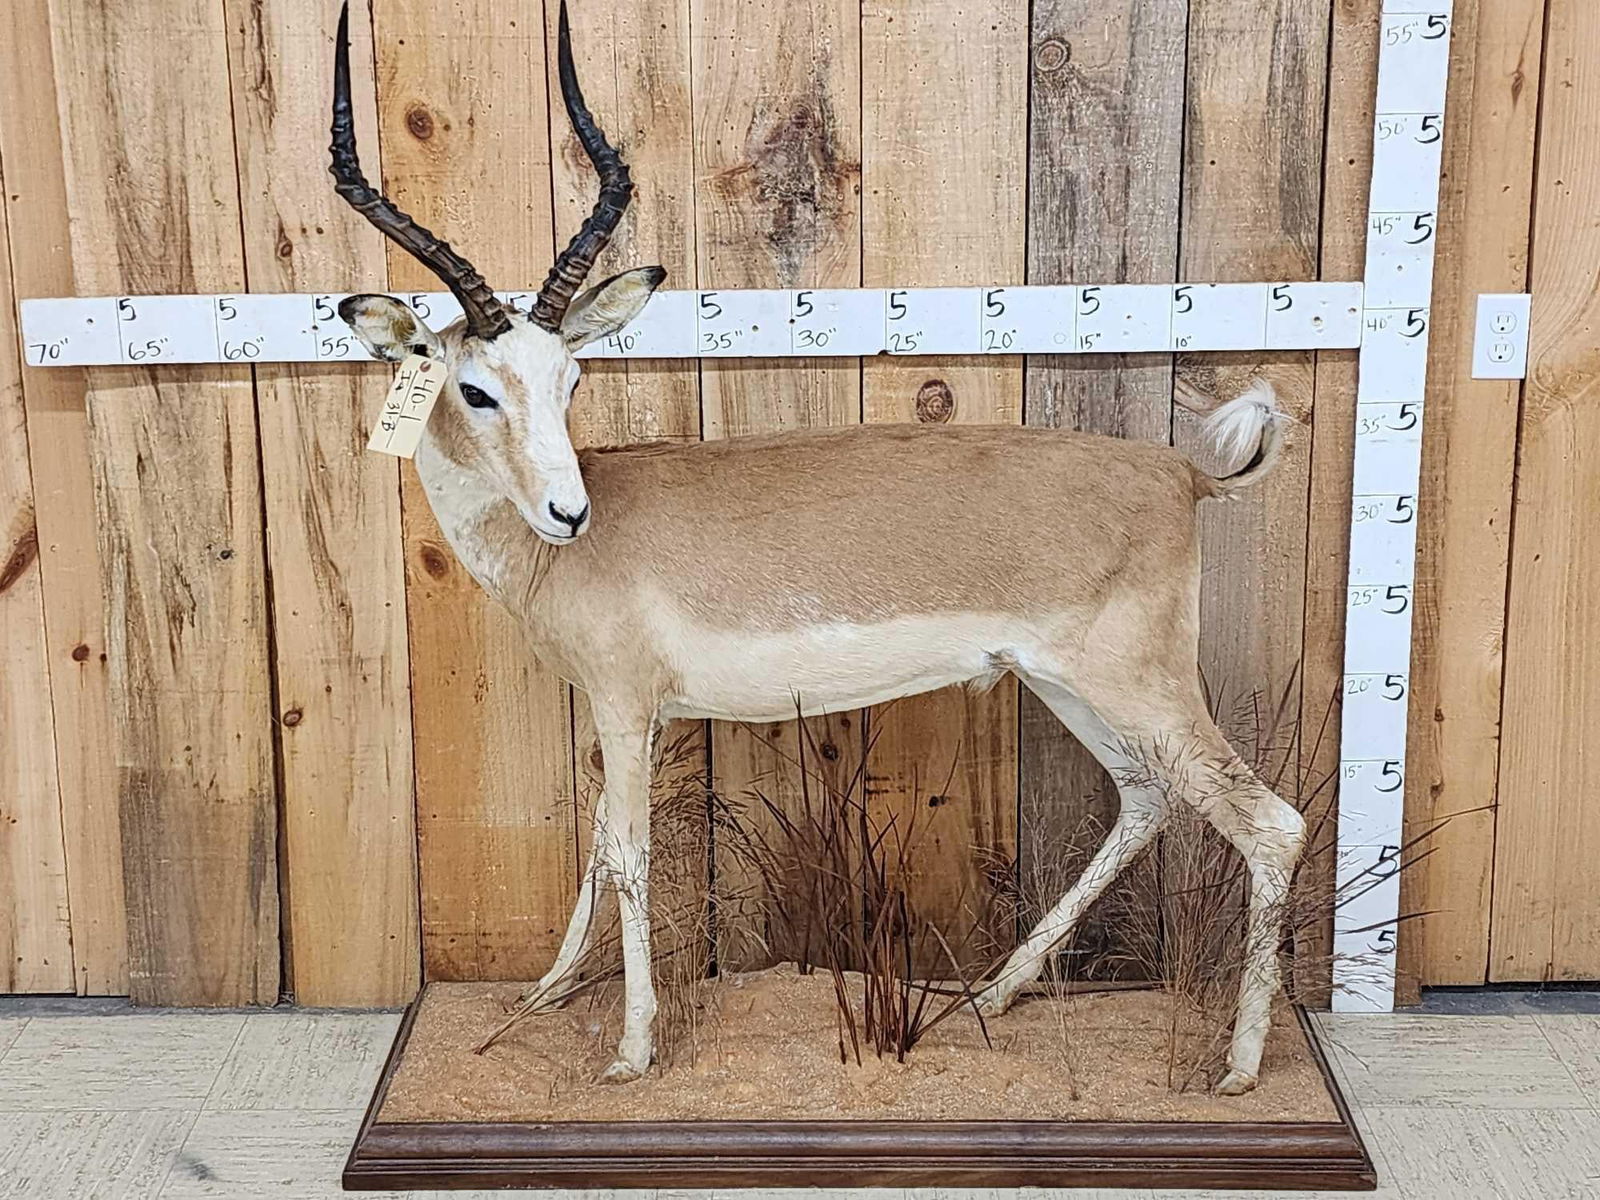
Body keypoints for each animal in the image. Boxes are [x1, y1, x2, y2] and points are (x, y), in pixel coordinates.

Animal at [330, 2, 1305, 1092]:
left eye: (569, 380)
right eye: (476, 388)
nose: (566, 511)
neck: (571, 549)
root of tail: (1183, 476)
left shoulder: (625, 704)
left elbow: (626, 855)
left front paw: (630, 1050)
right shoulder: (628, 712)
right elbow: (594, 848)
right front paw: (540, 995)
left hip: (1135, 684)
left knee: (1269, 822)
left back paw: (1237, 1068)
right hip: (1069, 686)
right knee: (1144, 800)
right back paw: (995, 995)